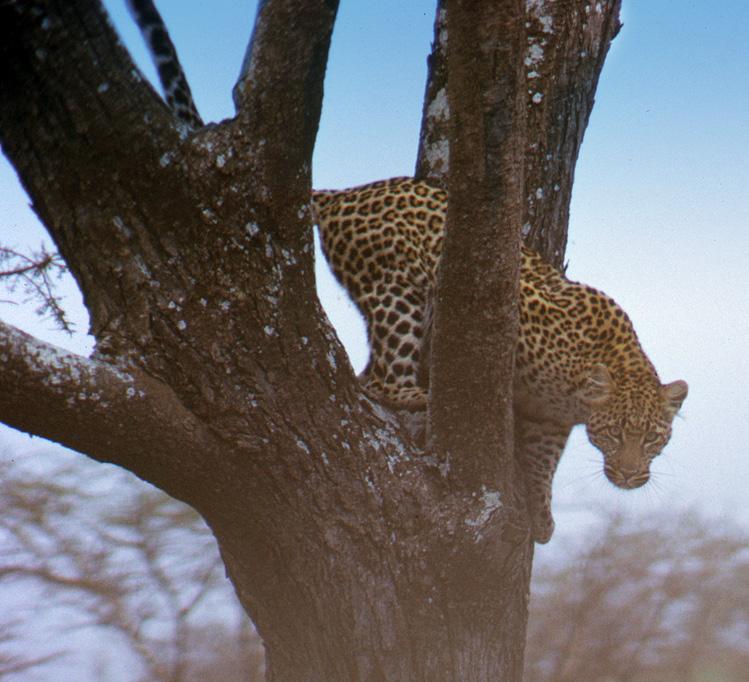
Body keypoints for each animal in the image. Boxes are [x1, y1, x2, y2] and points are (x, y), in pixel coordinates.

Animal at [312, 177, 688, 540]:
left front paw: (542, 513)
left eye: (652, 438)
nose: (627, 475)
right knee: (382, 381)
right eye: (614, 433)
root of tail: (344, 195)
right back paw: (416, 395)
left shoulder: (548, 419)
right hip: (395, 293)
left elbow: (544, 461)